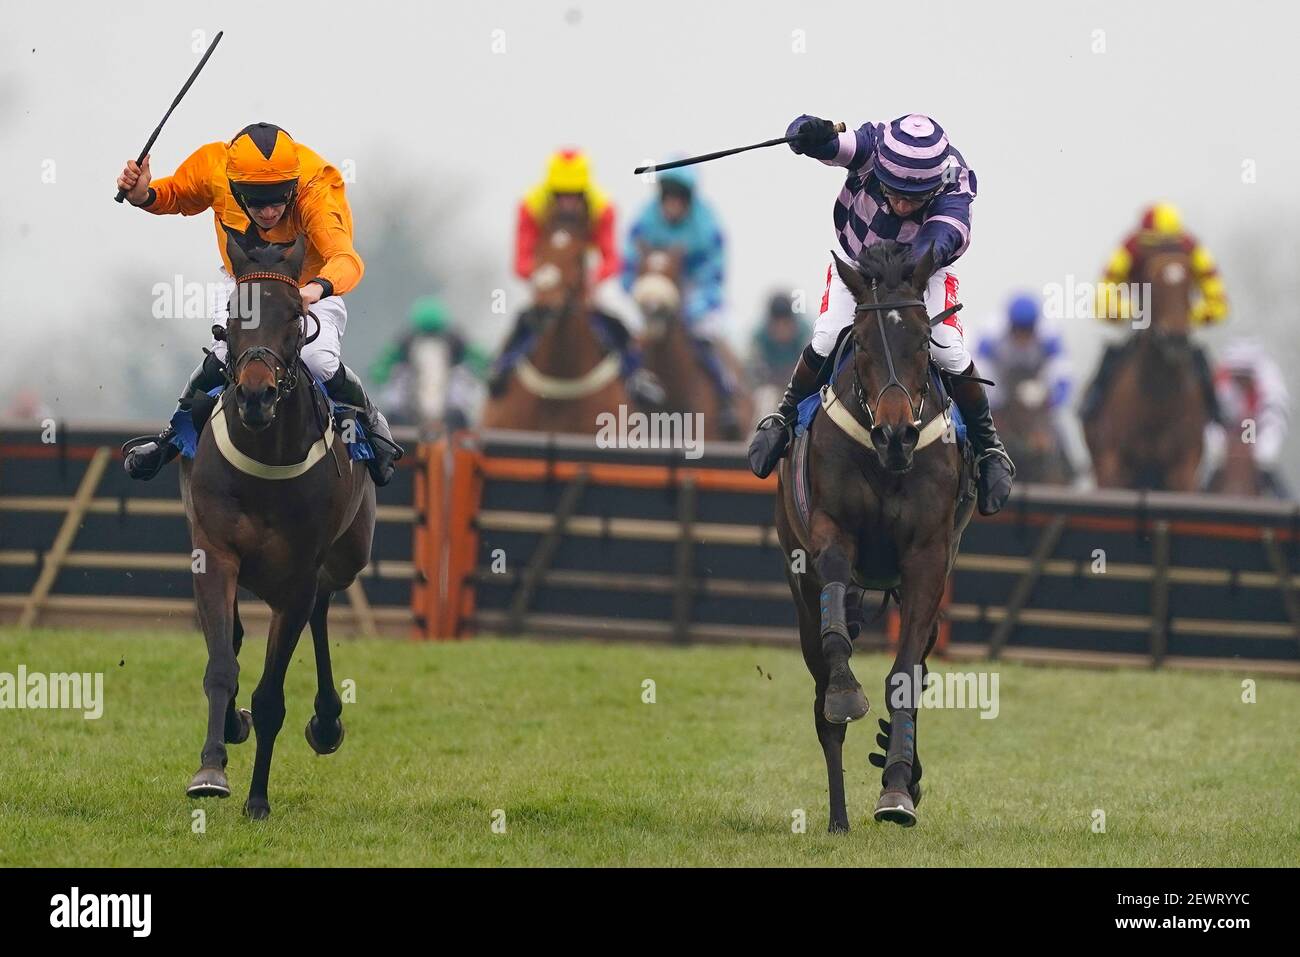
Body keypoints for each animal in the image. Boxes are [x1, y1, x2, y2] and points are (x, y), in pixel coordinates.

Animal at [178, 235, 374, 816]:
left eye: (293, 315)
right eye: (231, 314)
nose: (256, 394)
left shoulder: (298, 576)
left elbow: (270, 697)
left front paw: (258, 800)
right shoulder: (215, 552)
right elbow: (222, 665)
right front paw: (211, 769)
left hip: (346, 557)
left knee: (323, 607)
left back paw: (327, 721)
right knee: (240, 633)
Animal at [769, 243, 977, 832]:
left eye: (924, 340)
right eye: (860, 342)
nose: (895, 435)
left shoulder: (928, 560)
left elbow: (904, 677)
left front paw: (898, 789)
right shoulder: (830, 532)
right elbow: (837, 638)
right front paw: (846, 692)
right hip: (799, 589)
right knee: (823, 704)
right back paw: (838, 816)